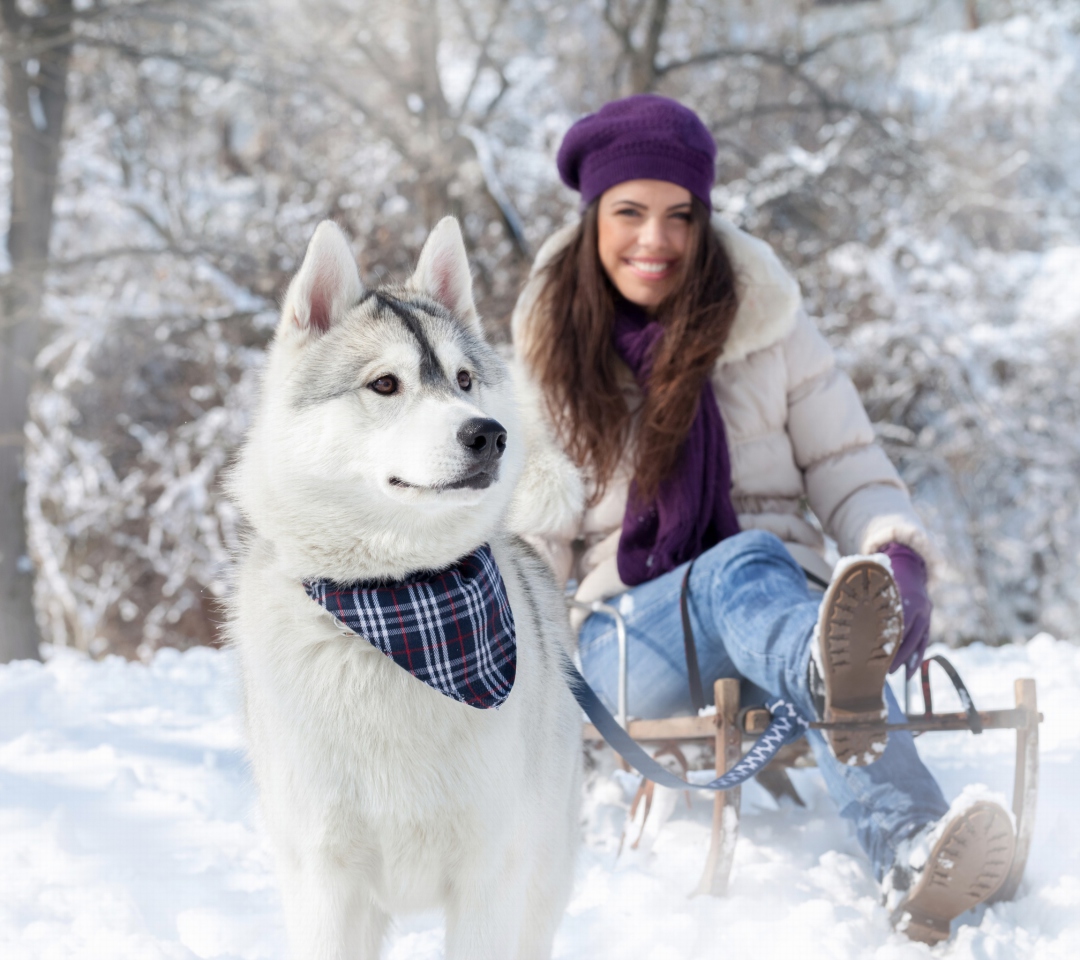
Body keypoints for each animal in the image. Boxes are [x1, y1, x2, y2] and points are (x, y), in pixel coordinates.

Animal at [226, 219, 583, 958]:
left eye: (465, 379)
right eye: (385, 384)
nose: (489, 435)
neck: (398, 600)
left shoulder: (489, 878)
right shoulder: (326, 882)